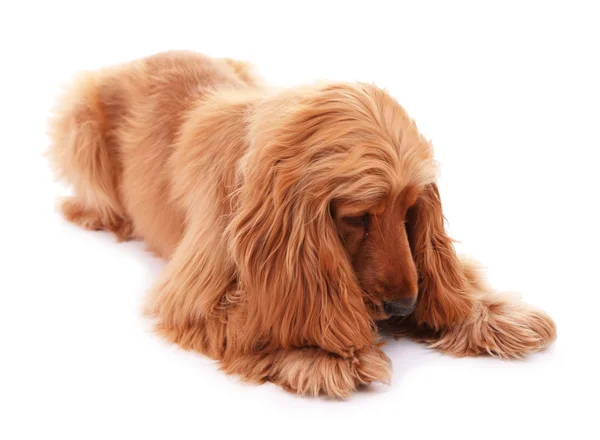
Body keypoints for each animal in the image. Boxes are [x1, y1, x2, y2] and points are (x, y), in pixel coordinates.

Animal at [48, 49, 556, 398]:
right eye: (357, 218)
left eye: (410, 211)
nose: (402, 308)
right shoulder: (194, 295)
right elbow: (258, 322)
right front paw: (318, 353)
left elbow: (455, 278)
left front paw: (491, 314)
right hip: (81, 125)